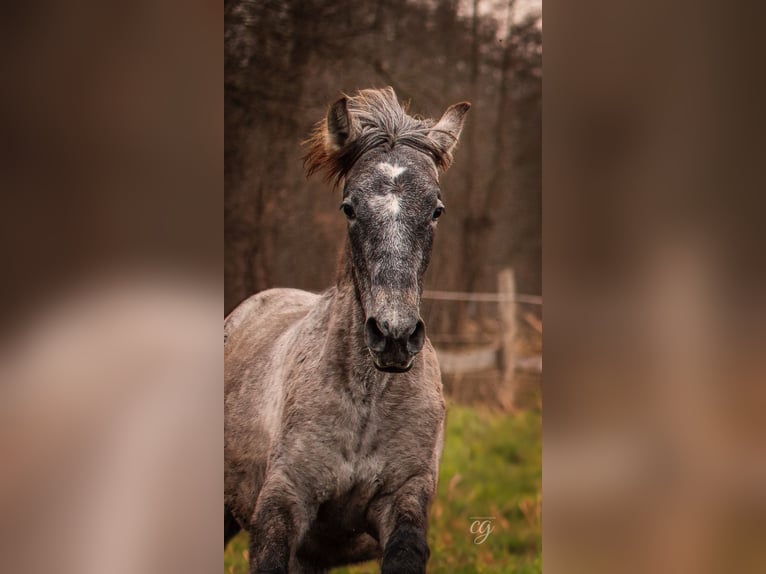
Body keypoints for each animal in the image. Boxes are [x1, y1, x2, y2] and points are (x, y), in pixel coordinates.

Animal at [225, 86, 472, 574]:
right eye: (349, 207)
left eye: (436, 210)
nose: (394, 336)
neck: (366, 403)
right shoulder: (284, 500)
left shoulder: (404, 498)